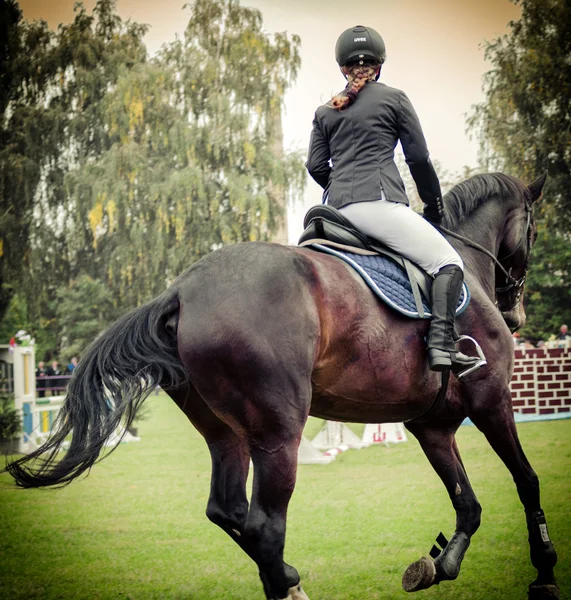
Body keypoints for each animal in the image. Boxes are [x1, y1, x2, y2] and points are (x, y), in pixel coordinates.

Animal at [3, 171, 560, 600]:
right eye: (534, 230)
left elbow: (468, 503)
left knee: (227, 509)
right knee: (264, 527)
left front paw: (441, 564)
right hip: (279, 435)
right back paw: (288, 582)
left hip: (226, 433)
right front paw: (545, 570)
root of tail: (182, 289)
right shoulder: (491, 401)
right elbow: (526, 481)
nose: (515, 312)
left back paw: (289, 580)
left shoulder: (433, 426)